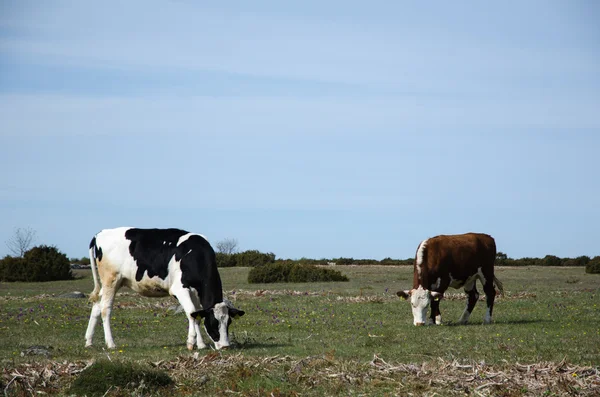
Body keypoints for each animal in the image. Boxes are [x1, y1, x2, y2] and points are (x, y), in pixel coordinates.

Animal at [84, 226, 244, 350]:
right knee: (105, 308)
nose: (225, 346)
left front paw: (201, 344)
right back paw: (111, 343)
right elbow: (192, 313)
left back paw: (89, 341)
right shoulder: (180, 289)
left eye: (228, 322)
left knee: (97, 305)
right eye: (213, 323)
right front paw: (191, 343)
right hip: (111, 280)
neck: (195, 256)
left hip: (111, 283)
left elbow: (197, 315)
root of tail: (100, 233)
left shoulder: (195, 292)